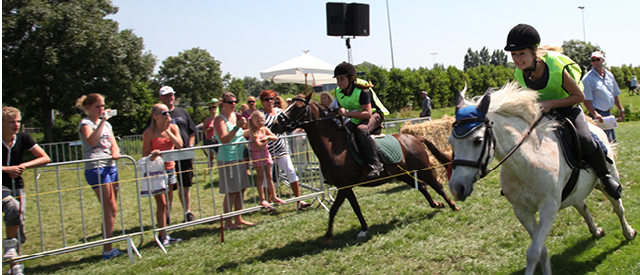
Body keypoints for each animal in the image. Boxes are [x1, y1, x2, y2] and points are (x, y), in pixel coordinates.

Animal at [268, 93, 458, 246]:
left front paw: (328, 237)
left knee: (437, 186)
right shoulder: (345, 187)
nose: (274, 125)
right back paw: (436, 204)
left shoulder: (344, 186)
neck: (334, 147)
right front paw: (364, 229)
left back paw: (453, 205)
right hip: (403, 174)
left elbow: (334, 210)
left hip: (424, 168)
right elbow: (356, 208)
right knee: (424, 187)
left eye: (298, 107)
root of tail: (414, 136)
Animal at [448, 83, 636, 275]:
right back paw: (596, 231)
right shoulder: (522, 211)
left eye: (477, 140)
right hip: (573, 192)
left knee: (618, 207)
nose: (457, 188)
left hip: (607, 180)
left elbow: (533, 253)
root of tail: (596, 127)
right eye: (450, 142)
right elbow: (541, 250)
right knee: (582, 207)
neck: (528, 161)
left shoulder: (549, 208)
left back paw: (628, 233)